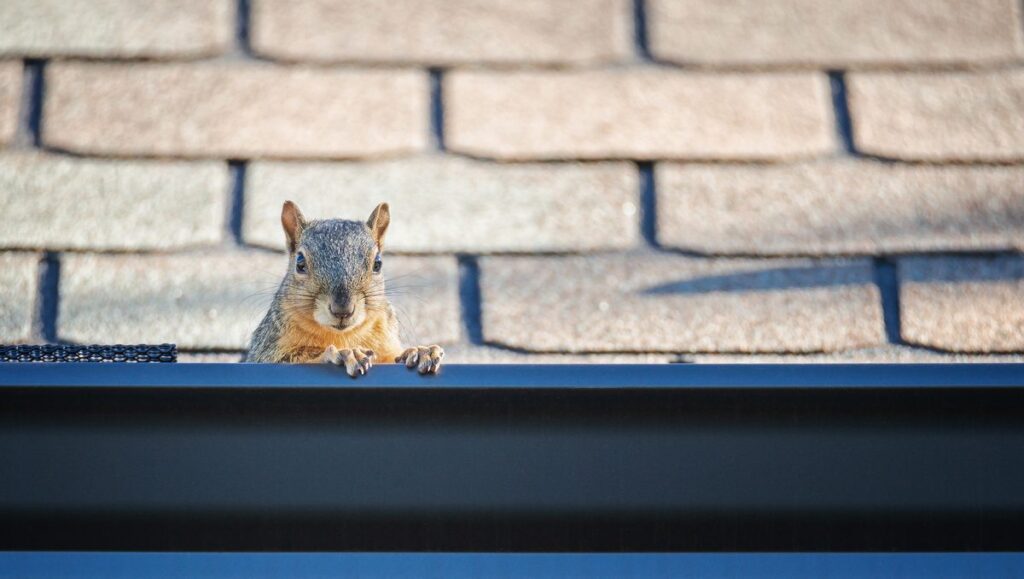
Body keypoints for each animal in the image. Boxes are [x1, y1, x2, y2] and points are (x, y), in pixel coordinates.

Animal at [246, 200, 444, 377]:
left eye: (378, 263)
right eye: (300, 263)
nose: (342, 310)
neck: (343, 335)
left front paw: (419, 352)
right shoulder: (266, 351)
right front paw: (343, 354)